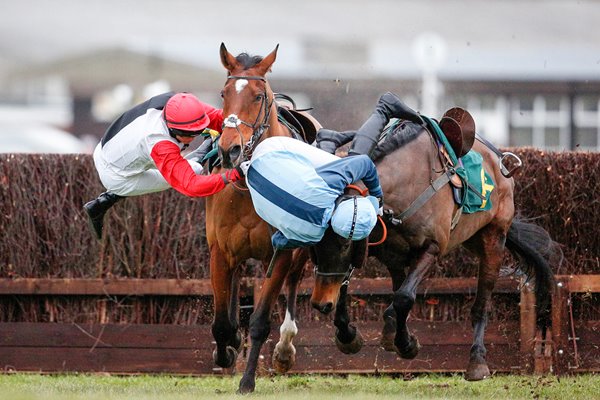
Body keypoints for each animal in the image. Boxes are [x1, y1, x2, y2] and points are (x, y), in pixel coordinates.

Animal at [310, 119, 564, 382]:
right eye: (314, 245)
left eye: (345, 243)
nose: (320, 304)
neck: (406, 183)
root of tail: (502, 166)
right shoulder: (375, 244)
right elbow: (346, 286)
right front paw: (348, 335)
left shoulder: (431, 248)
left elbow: (404, 297)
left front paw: (406, 344)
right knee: (398, 283)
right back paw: (390, 329)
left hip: (493, 239)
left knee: (480, 305)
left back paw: (477, 361)